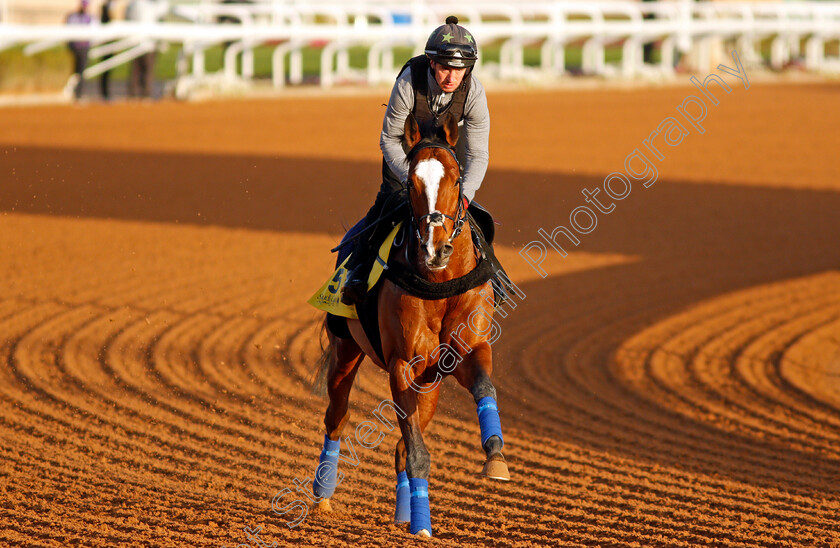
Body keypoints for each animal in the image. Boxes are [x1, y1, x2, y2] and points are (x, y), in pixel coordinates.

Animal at [308, 113, 506, 536]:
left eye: (456, 179)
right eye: (412, 183)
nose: (436, 249)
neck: (439, 282)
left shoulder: (467, 350)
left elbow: (484, 385)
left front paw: (495, 455)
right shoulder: (402, 365)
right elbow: (417, 452)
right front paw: (424, 526)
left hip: (429, 383)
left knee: (399, 444)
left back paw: (404, 513)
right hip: (346, 350)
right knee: (337, 418)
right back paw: (323, 495)